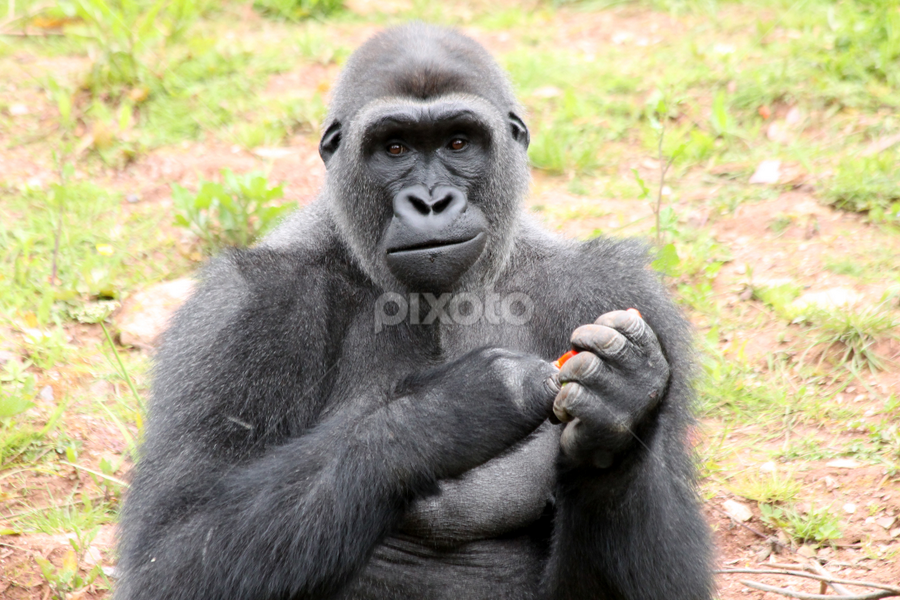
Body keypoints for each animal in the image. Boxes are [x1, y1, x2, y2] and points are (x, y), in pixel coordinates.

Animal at [115, 23, 712, 600]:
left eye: (458, 142)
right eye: (396, 148)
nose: (430, 201)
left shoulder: (615, 286)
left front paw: (617, 409)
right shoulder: (242, 309)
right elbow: (172, 552)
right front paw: (451, 409)